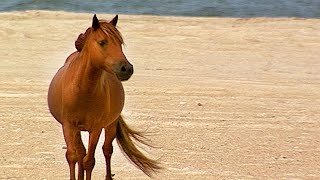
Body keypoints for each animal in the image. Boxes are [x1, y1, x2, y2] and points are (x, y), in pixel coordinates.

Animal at [47, 14, 160, 180]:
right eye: (102, 42)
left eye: (120, 43)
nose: (126, 68)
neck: (83, 91)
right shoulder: (68, 126)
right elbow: (72, 156)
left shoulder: (96, 128)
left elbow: (89, 161)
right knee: (80, 153)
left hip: (110, 125)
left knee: (106, 150)